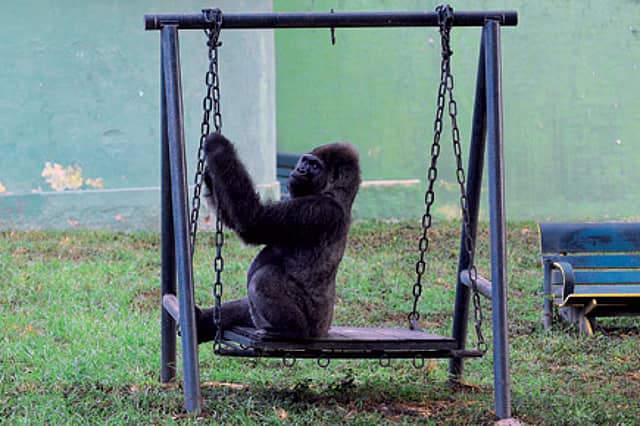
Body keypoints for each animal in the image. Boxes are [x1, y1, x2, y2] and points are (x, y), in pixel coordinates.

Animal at [195, 132, 361, 343]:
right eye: (304, 161)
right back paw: (202, 322)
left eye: (315, 166)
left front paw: (217, 146)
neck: (337, 192)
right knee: (247, 307)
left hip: (313, 326)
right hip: (257, 320)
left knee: (263, 278)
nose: (300, 169)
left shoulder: (319, 209)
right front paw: (209, 175)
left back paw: (290, 332)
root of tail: (325, 331)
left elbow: (253, 220)